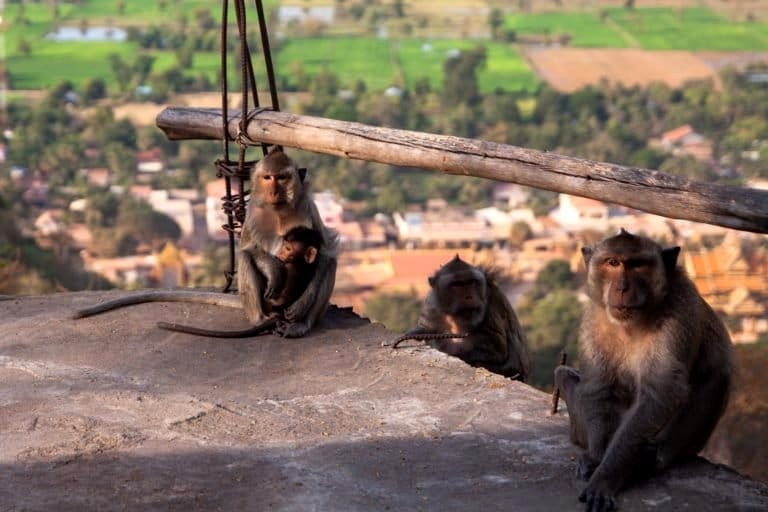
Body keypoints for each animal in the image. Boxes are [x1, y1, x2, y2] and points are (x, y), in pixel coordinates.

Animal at [74, 149, 339, 339]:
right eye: (267, 177)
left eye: (282, 178)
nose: (273, 190)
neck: (279, 209)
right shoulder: (254, 212)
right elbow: (247, 248)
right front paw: (274, 269)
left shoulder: (308, 207)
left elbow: (326, 249)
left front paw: (302, 305)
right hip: (265, 304)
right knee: (246, 260)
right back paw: (259, 321)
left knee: (330, 262)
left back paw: (301, 325)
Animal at [394, 255, 531, 381]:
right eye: (457, 285)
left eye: (471, 282)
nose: (469, 297)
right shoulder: (432, 305)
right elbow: (425, 328)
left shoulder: (489, 304)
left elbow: (497, 349)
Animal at [554, 229, 733, 512]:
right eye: (613, 263)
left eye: (637, 265)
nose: (622, 288)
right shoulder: (594, 318)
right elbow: (600, 386)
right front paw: (595, 458)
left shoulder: (678, 313)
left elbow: (661, 392)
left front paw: (606, 476)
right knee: (563, 375)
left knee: (717, 376)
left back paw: (650, 460)